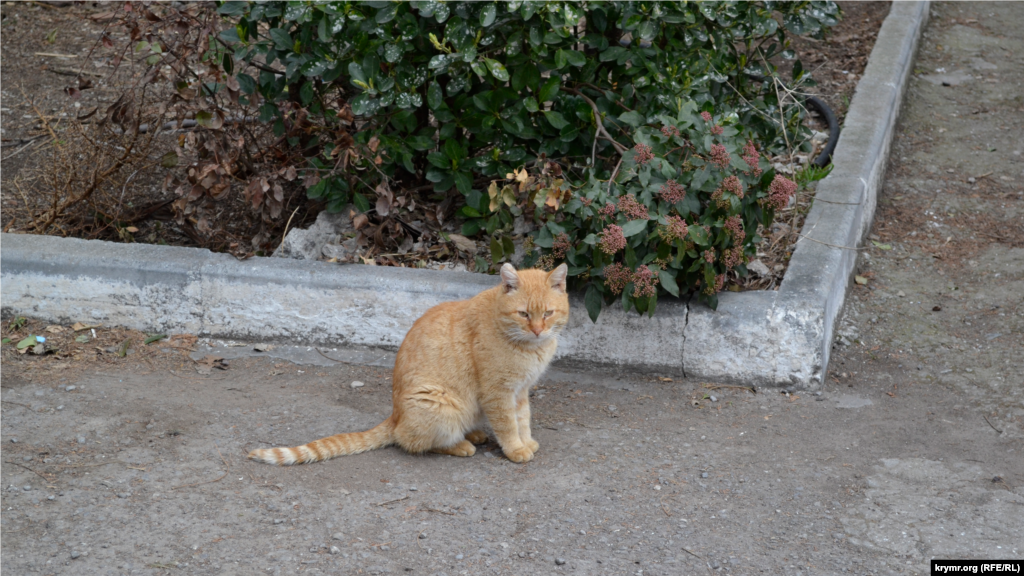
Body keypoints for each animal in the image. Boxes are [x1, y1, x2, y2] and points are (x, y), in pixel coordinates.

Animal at [246, 262, 569, 463]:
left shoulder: (520, 391)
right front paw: (516, 449)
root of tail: (395, 415)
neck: (529, 347)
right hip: (438, 403)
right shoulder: (498, 393)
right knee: (415, 441)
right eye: (524, 314)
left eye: (548, 313)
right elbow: (507, 425)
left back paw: (474, 433)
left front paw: (526, 441)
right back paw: (462, 444)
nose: (538, 330)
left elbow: (523, 419)